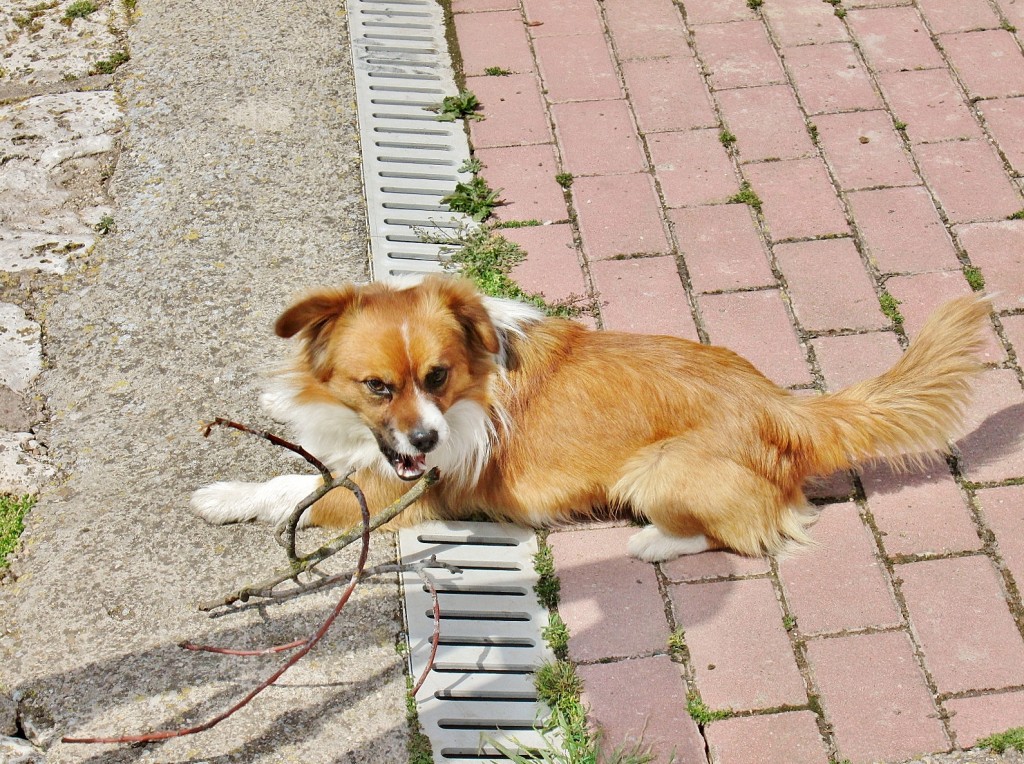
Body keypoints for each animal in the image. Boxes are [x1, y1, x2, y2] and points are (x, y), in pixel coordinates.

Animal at [192, 274, 991, 561]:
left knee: (740, 534)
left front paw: (224, 498)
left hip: (654, 474)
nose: (424, 438)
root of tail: (785, 406)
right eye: (378, 386)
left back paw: (652, 545)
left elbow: (294, 492)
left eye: (437, 377)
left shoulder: (398, 492)